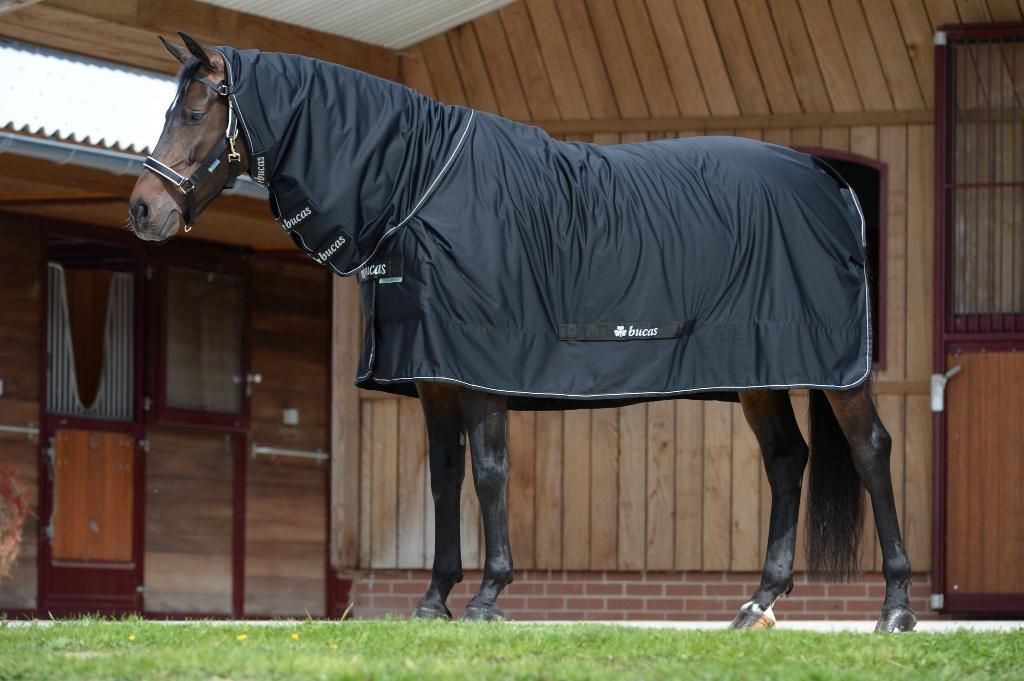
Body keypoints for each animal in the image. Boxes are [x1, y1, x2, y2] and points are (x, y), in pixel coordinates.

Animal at [128, 33, 917, 633]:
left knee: (870, 451)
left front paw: (487, 596)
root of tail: (828, 179)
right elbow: (447, 480)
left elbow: (490, 473)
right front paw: (433, 600)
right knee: (786, 460)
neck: (418, 187)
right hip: (756, 366)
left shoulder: (483, 369)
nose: (141, 210)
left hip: (833, 368)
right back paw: (756, 604)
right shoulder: (435, 375)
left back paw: (895, 608)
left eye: (194, 111)